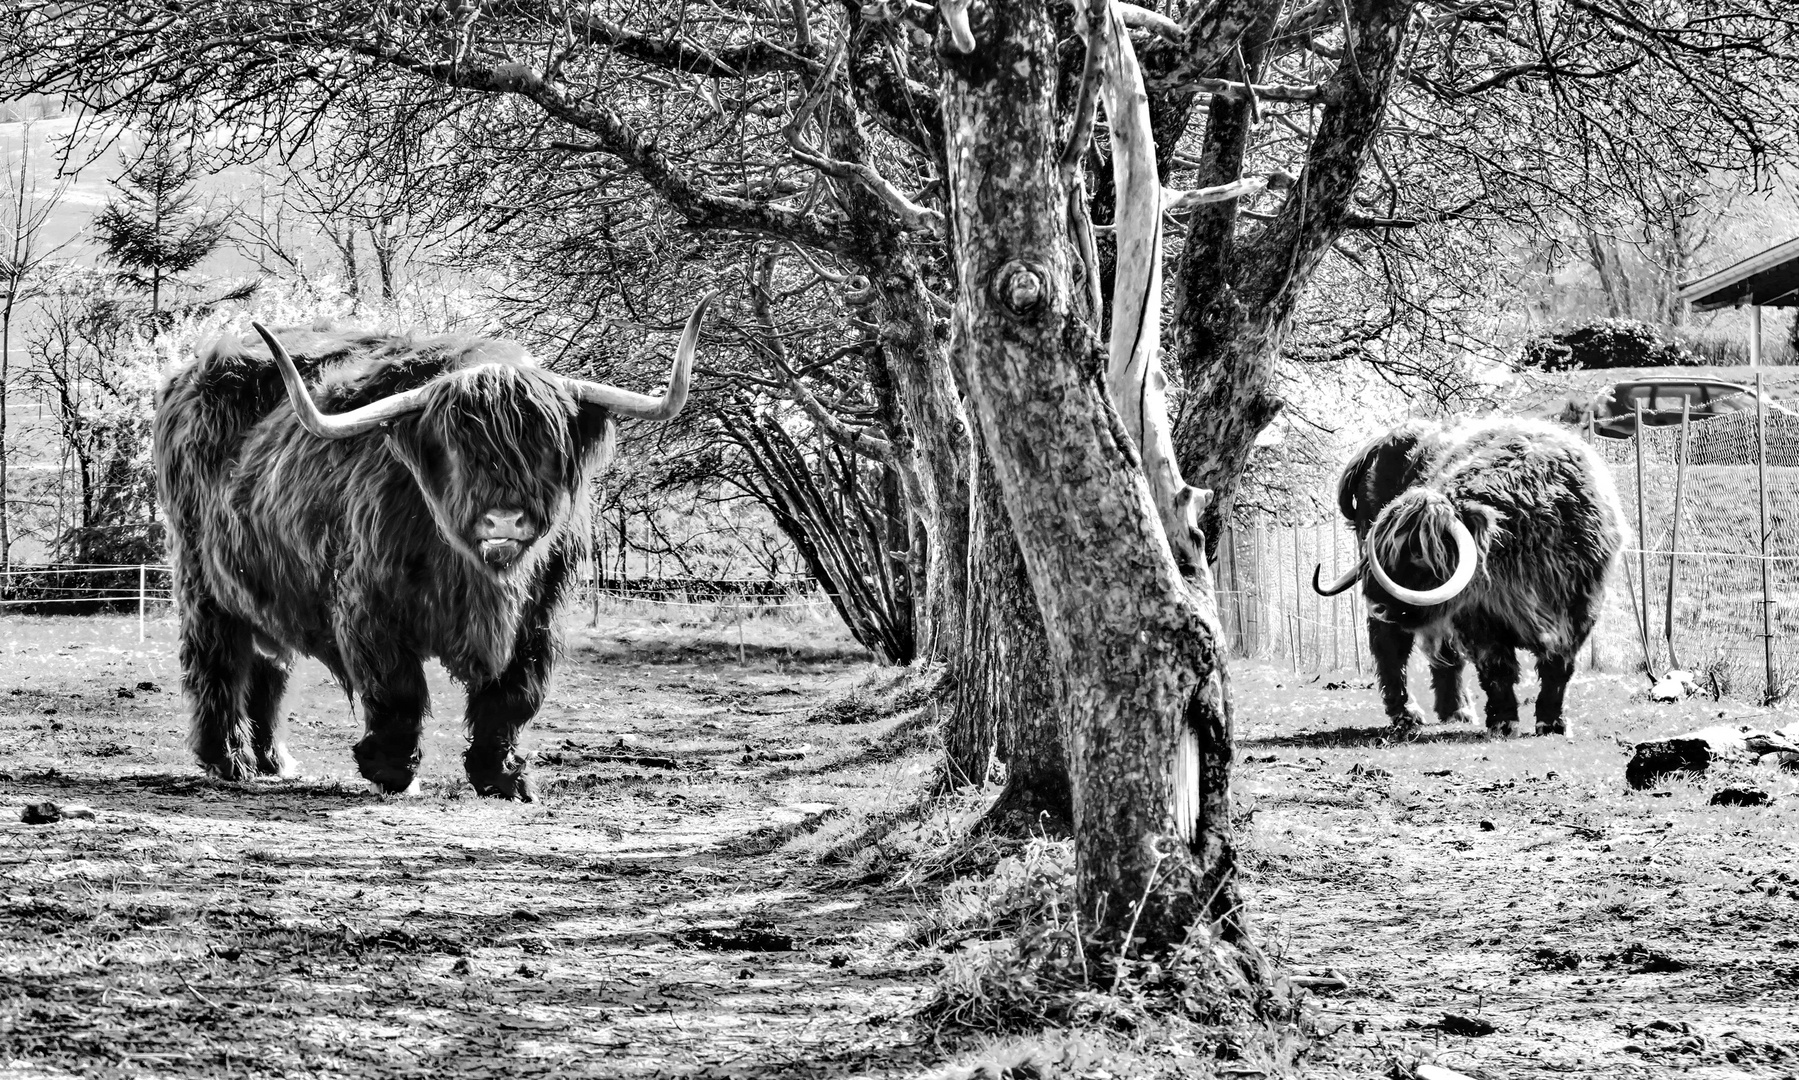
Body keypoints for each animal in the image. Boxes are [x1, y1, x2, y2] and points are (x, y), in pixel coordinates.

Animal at [154, 291, 716, 795]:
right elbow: (397, 690)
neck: (479, 583)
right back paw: (228, 762)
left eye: (546, 446)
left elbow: (513, 697)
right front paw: (392, 772)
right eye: (455, 447)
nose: (504, 520)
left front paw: (503, 778)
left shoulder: (539, 614)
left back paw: (276, 761)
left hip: (268, 589)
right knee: (216, 663)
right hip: (201, 582)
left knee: (270, 668)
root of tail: (188, 377)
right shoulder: (368, 605)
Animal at [1309, 417, 1633, 738]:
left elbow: (1558, 667)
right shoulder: (1479, 616)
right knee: (1391, 650)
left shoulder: (1580, 609)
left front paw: (1552, 724)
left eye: (1418, 554)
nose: (1377, 606)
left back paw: (1457, 711)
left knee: (1443, 654)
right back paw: (1407, 715)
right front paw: (1504, 723)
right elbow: (1498, 668)